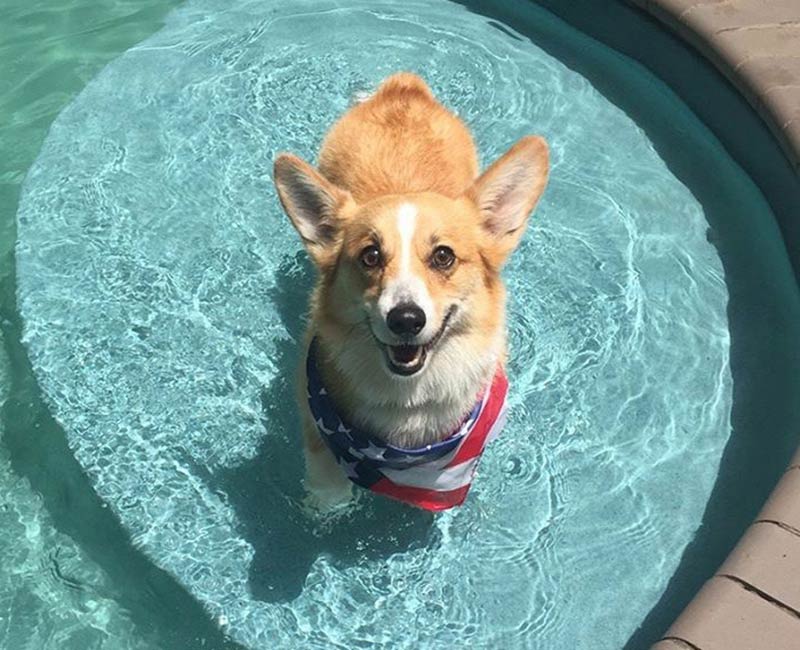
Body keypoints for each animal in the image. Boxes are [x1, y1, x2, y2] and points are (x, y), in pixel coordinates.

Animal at [272, 69, 548, 506]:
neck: (408, 403)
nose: (405, 319)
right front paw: (327, 503)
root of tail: (405, 88)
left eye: (443, 256)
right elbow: (325, 479)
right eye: (370, 256)